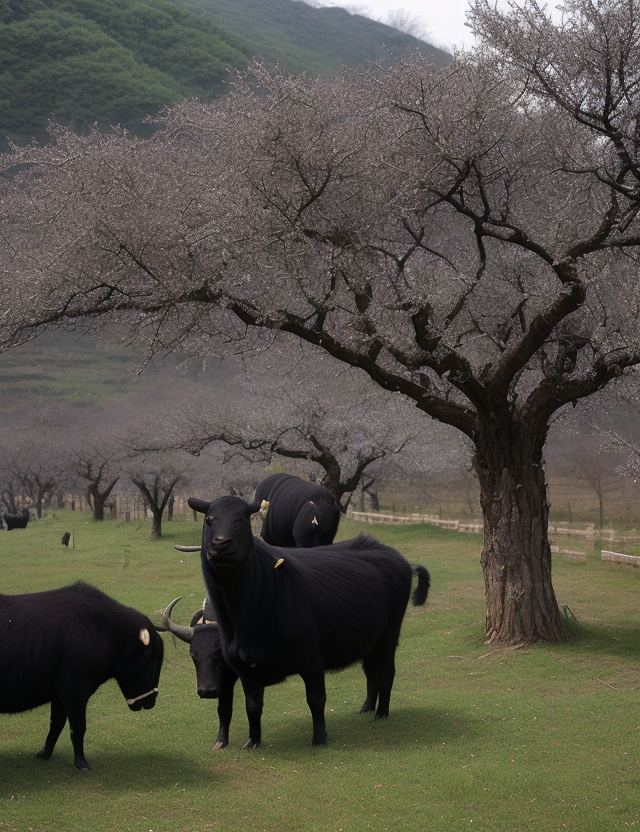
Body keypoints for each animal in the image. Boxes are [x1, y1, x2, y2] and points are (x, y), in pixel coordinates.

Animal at [0, 580, 165, 772]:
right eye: (153, 658)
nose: (151, 701)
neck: (102, 629)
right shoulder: (75, 689)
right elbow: (78, 727)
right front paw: (81, 762)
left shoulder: (60, 693)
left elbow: (56, 724)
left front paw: (45, 753)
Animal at [161, 596, 264, 752]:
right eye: (192, 654)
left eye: (219, 652)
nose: (206, 691)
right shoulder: (224, 681)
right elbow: (224, 708)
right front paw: (220, 742)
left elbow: (253, 706)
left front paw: (253, 742)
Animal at [184, 494, 430, 748]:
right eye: (210, 519)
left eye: (240, 519)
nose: (221, 543)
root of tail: (399, 559)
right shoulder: (244, 669)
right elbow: (252, 707)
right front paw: (253, 741)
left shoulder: (312, 660)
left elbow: (316, 700)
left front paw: (319, 738)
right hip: (369, 638)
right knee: (371, 671)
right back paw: (367, 708)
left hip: (388, 635)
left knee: (386, 672)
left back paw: (381, 713)